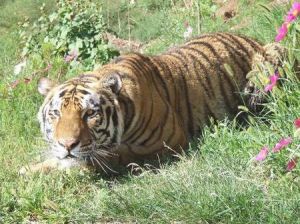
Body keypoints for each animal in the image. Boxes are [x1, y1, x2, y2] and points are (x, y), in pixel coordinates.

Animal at [19, 32, 284, 175]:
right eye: (55, 113)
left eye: (90, 114)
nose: (67, 145)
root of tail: (254, 40)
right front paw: (28, 169)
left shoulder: (163, 144)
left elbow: (98, 159)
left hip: (268, 62)